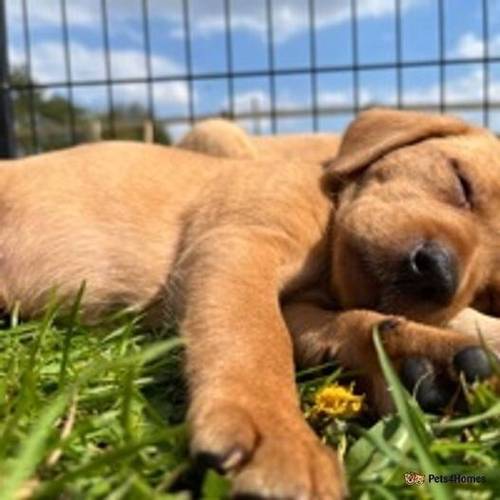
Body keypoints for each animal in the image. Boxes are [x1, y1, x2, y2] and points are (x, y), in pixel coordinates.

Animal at [0, 108, 500, 496]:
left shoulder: (304, 307)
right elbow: (256, 337)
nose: (440, 274)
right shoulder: (241, 243)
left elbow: (349, 323)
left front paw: (423, 359)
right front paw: (279, 437)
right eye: (461, 182)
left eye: (489, 290)